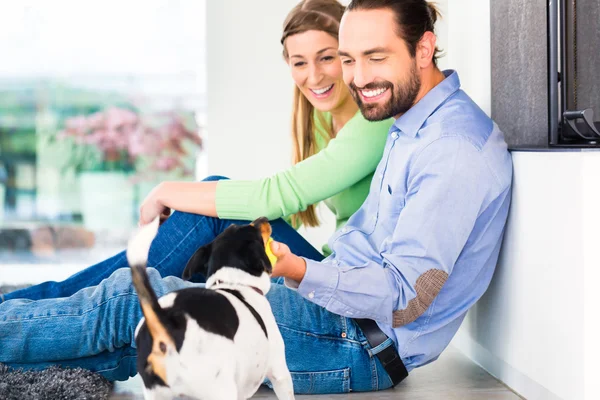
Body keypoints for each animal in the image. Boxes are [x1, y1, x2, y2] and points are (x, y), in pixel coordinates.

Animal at [127, 217, 296, 398]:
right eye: (252, 229)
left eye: (233, 225)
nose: (263, 218)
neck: (234, 282)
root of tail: (164, 320)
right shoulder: (280, 372)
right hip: (220, 389)